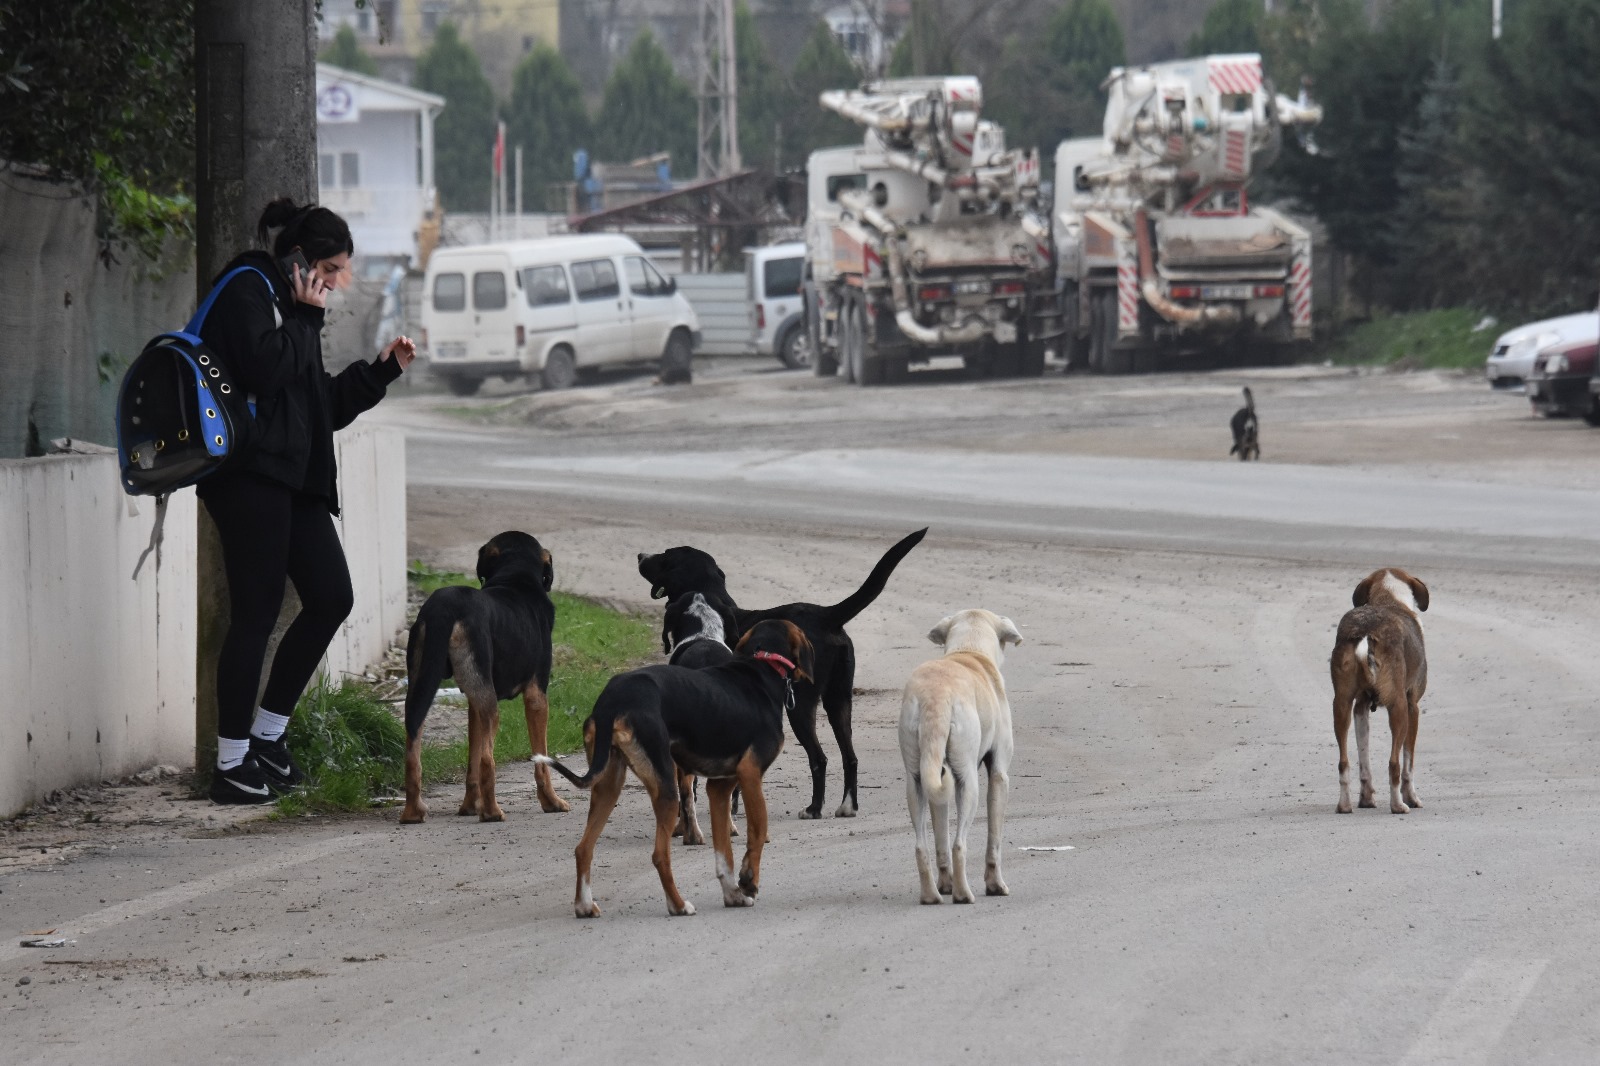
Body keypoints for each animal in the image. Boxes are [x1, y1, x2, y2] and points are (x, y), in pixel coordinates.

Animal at [400, 531, 569, 819]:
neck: (515, 577)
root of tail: (444, 606)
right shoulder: (537, 695)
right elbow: (541, 761)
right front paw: (551, 802)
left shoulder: (473, 702)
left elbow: (472, 762)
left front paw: (468, 807)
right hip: (490, 704)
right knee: (488, 760)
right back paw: (491, 812)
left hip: (423, 683)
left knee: (414, 748)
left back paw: (413, 812)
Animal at [534, 617, 812, 915]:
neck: (763, 665)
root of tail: (612, 699)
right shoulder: (750, 775)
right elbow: (757, 833)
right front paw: (748, 882)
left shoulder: (719, 788)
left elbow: (723, 852)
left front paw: (733, 895)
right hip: (667, 789)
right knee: (659, 855)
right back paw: (678, 905)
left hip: (608, 786)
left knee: (583, 848)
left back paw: (585, 906)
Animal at [636, 521, 928, 813]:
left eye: (665, 555)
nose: (640, 555)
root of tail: (828, 615)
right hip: (839, 700)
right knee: (850, 757)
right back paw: (847, 806)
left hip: (801, 706)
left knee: (819, 758)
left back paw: (814, 808)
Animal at [902, 611, 1024, 902]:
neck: (969, 649)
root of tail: (936, 697)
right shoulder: (999, 775)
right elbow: (994, 841)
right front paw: (995, 885)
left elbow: (940, 841)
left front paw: (944, 883)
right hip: (967, 783)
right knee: (959, 844)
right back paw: (962, 893)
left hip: (918, 782)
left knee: (923, 846)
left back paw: (932, 895)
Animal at [1331, 569, 1433, 809]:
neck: (1389, 598)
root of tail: (1366, 631)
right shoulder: (1413, 706)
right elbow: (1408, 762)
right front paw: (1412, 797)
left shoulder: (1360, 707)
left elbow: (1364, 760)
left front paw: (1367, 798)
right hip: (1399, 707)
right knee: (1394, 763)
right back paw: (1399, 805)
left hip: (1341, 704)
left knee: (1343, 762)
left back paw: (1345, 805)